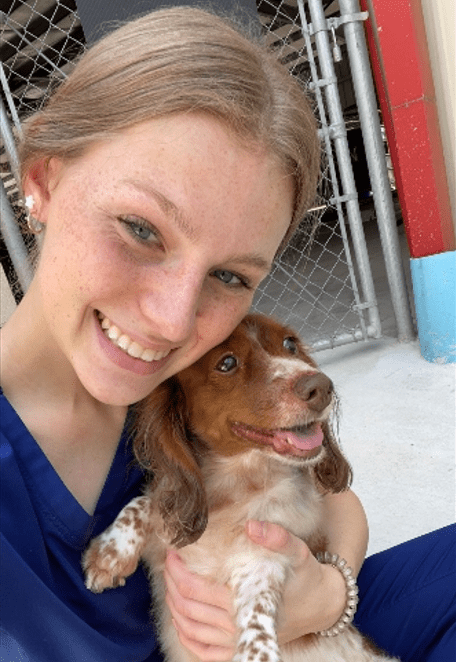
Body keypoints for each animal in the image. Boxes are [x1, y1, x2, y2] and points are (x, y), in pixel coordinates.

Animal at [83, 316, 398, 662]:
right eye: (227, 363)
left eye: (289, 344)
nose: (321, 387)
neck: (235, 489)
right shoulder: (169, 540)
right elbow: (146, 502)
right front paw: (109, 555)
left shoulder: (264, 559)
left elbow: (257, 622)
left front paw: (256, 653)